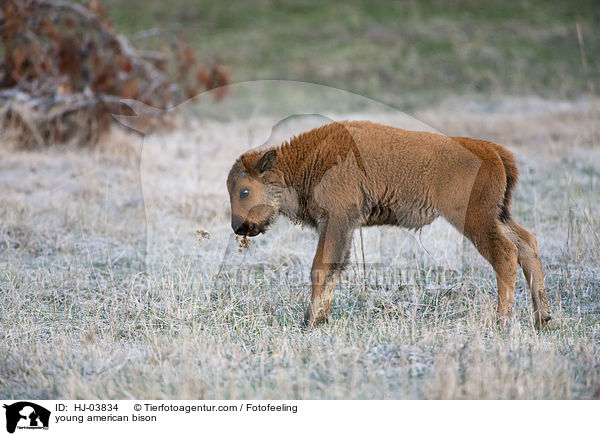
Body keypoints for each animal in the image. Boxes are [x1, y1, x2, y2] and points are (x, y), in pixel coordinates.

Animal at [226, 119, 552, 328]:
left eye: (244, 191)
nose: (239, 227)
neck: (310, 160)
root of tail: (492, 151)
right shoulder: (344, 227)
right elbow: (335, 268)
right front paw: (321, 319)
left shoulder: (336, 221)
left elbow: (321, 267)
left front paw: (309, 321)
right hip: (499, 215)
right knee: (527, 244)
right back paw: (543, 319)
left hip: (475, 219)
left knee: (506, 254)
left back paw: (501, 322)